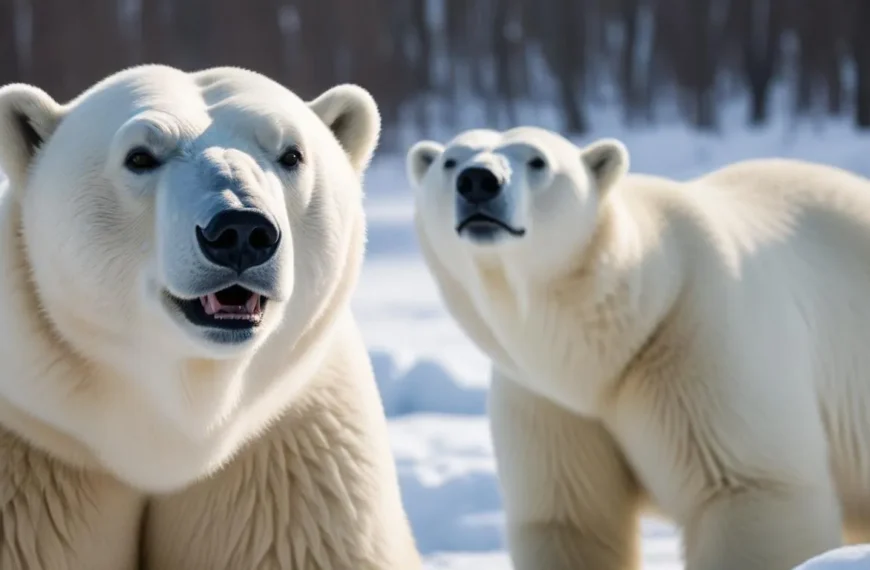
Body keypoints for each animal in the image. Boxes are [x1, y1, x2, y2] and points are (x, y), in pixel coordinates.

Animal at [406, 125, 870, 570]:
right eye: (450, 161)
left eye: (537, 160)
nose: (478, 181)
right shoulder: (547, 402)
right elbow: (571, 518)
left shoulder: (700, 339)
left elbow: (749, 486)